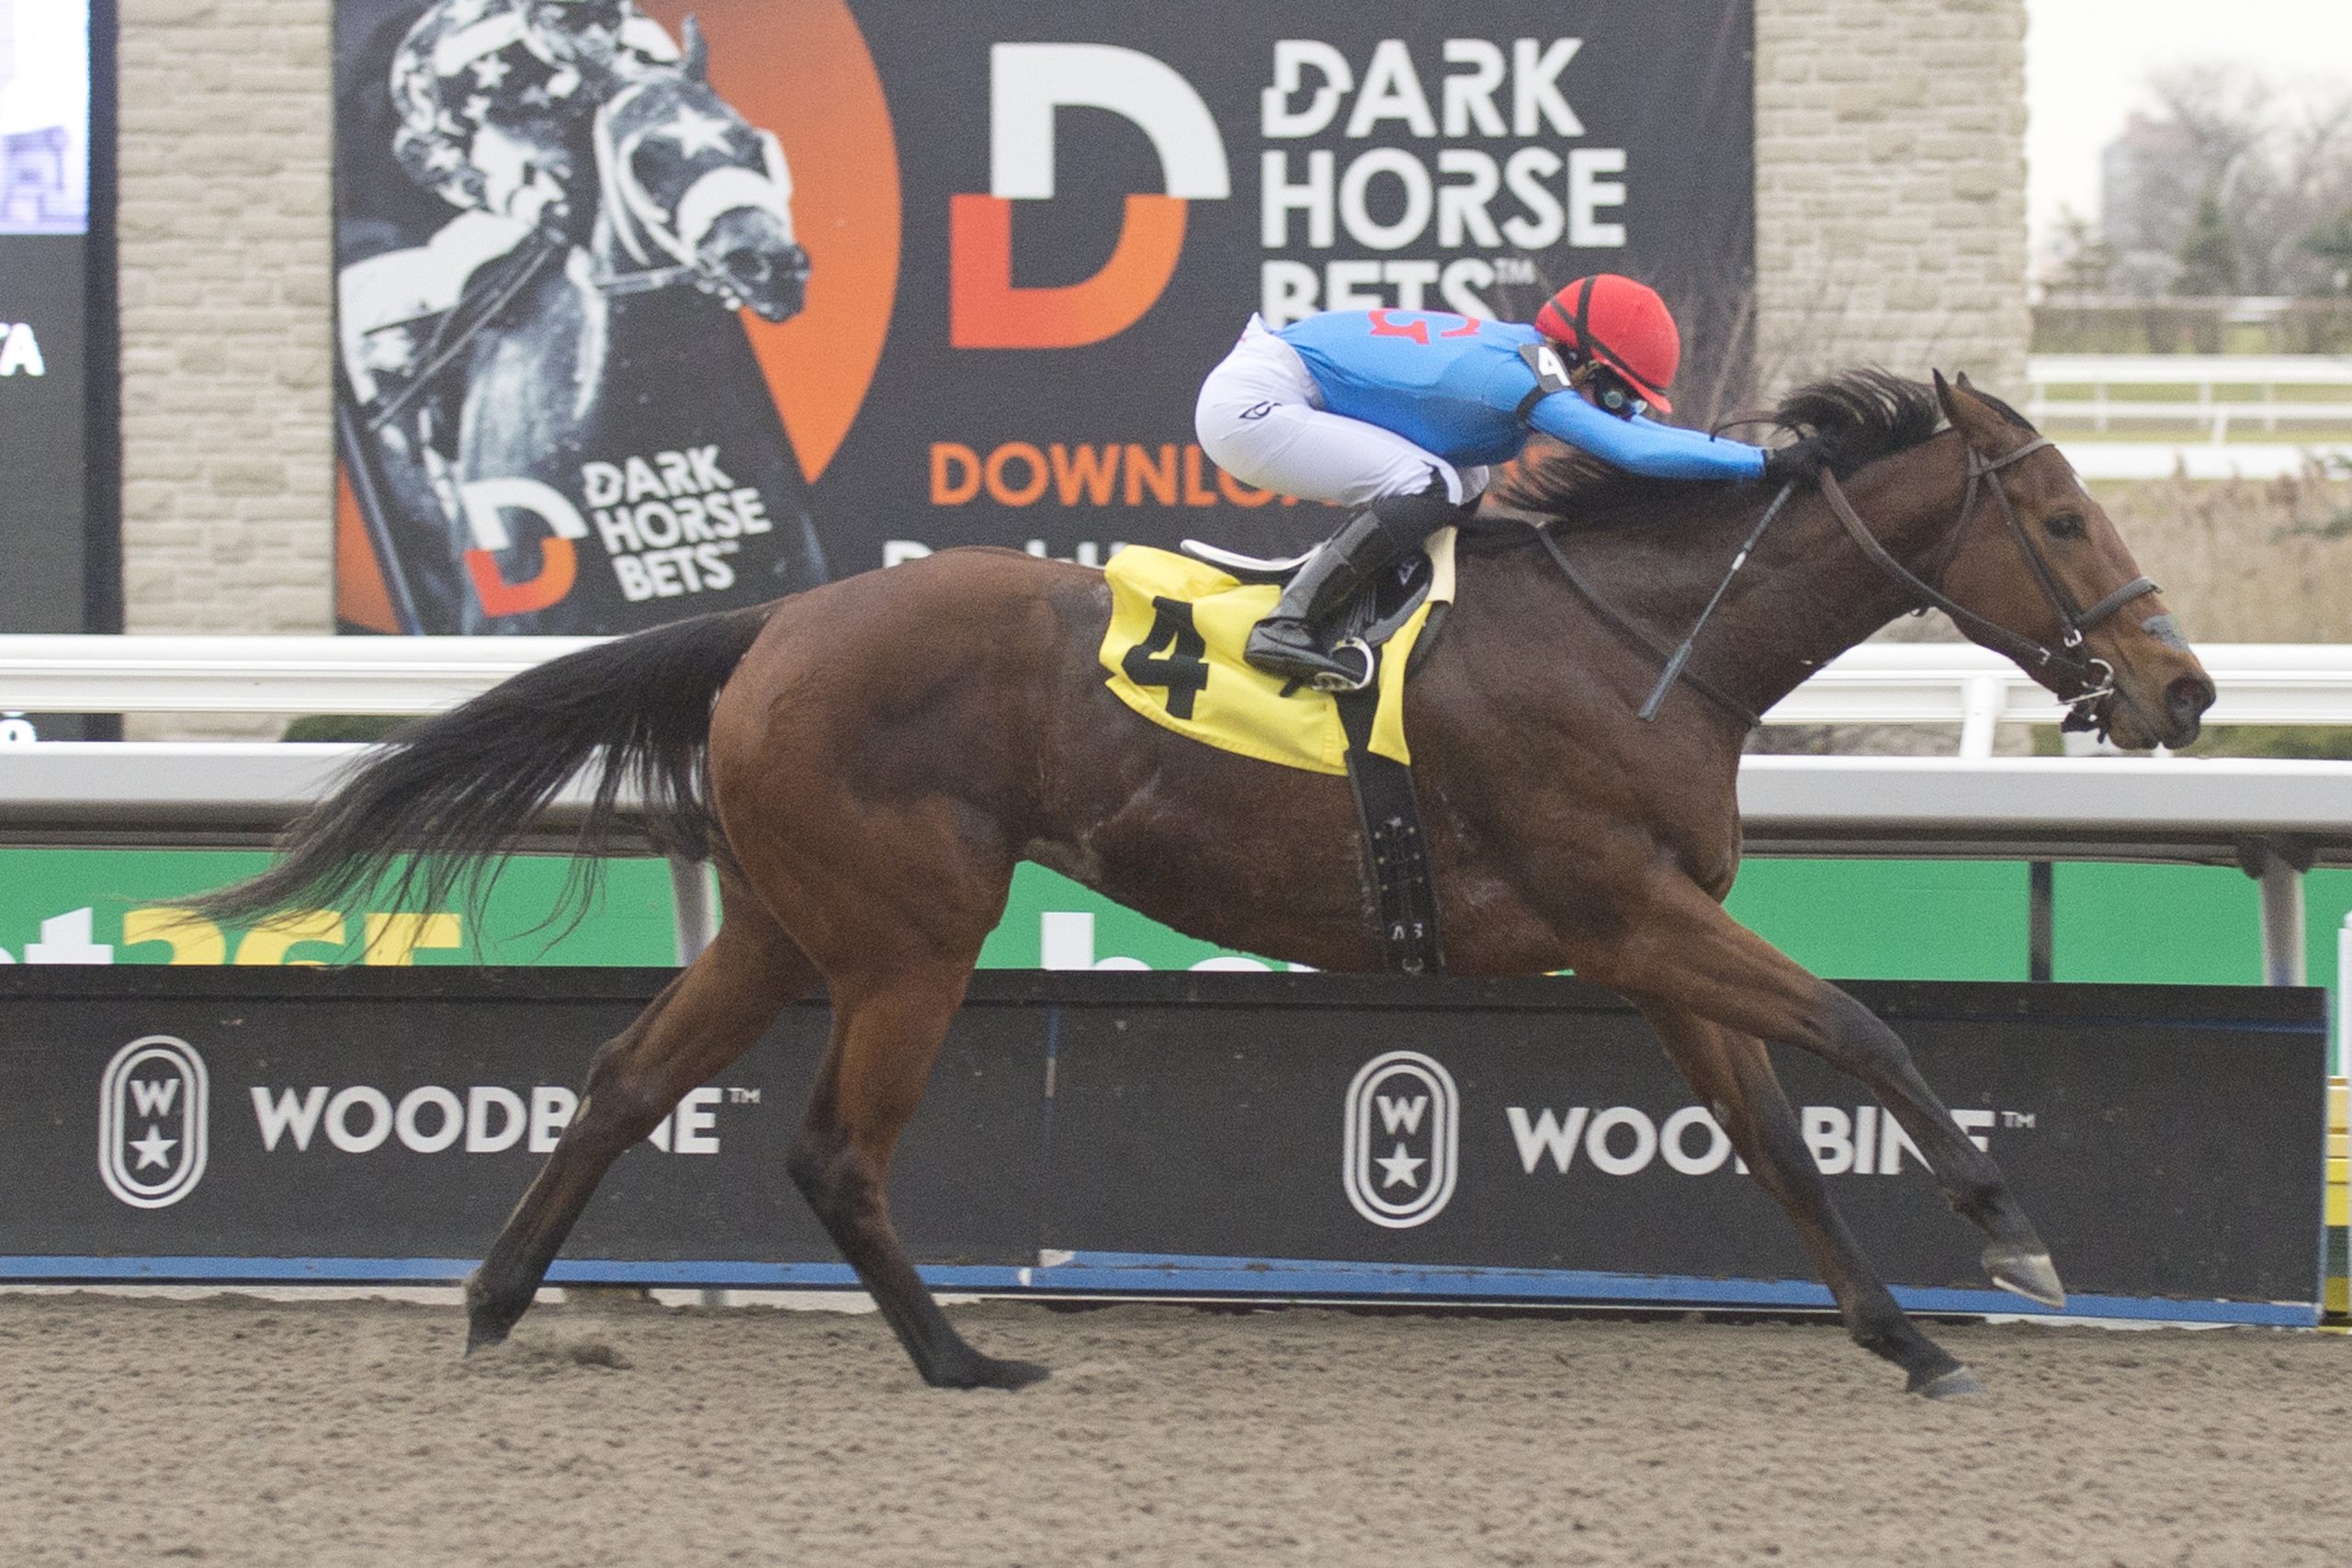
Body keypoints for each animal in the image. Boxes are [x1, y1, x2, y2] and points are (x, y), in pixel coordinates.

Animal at [203, 370, 2216, 1398]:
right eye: (2058, 517)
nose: (2184, 688)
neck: (1644, 639)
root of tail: (773, 621)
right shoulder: (1631, 912)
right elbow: (1864, 1030)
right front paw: (2008, 1239)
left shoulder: (1651, 941)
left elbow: (1776, 1129)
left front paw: (1904, 1335)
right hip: (913, 937)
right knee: (831, 1151)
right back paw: (962, 1358)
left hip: (787, 923)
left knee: (626, 1078)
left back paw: (493, 1304)